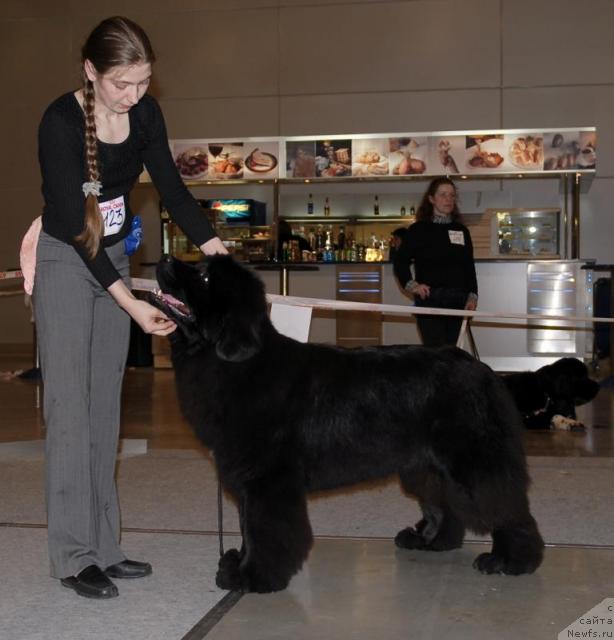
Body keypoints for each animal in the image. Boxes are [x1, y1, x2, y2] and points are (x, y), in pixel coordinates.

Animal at [152, 255, 548, 596]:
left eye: (204, 276)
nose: (165, 258)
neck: (235, 362)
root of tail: (484, 371)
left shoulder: (268, 481)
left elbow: (264, 530)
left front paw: (254, 577)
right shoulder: (247, 479)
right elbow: (247, 528)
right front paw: (237, 567)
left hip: (472, 459)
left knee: (504, 504)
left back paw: (511, 560)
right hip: (425, 464)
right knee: (442, 504)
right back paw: (430, 541)